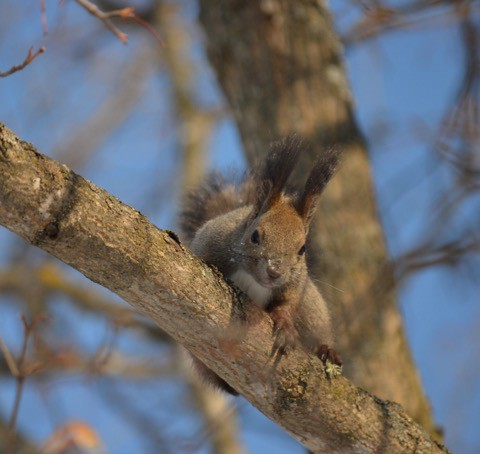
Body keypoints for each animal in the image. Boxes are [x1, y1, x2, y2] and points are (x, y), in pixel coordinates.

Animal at [180, 134, 342, 394]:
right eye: (255, 236)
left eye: (302, 249)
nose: (274, 271)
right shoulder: (210, 244)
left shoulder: (296, 281)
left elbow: (288, 301)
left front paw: (284, 324)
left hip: (312, 308)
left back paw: (326, 350)